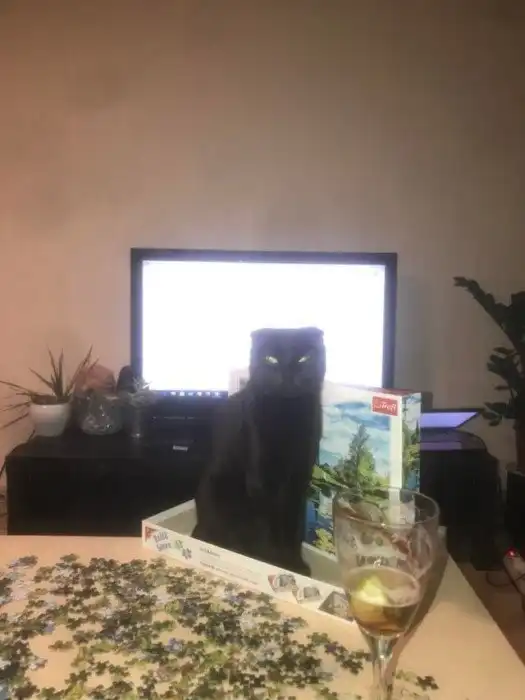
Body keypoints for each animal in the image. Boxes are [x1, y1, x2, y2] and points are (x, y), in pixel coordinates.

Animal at [192, 327, 326, 575]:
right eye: (270, 359)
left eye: (304, 358)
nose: (287, 374)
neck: (286, 414)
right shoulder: (261, 482)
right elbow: (268, 530)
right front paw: (271, 562)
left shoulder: (298, 482)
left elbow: (292, 529)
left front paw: (294, 565)